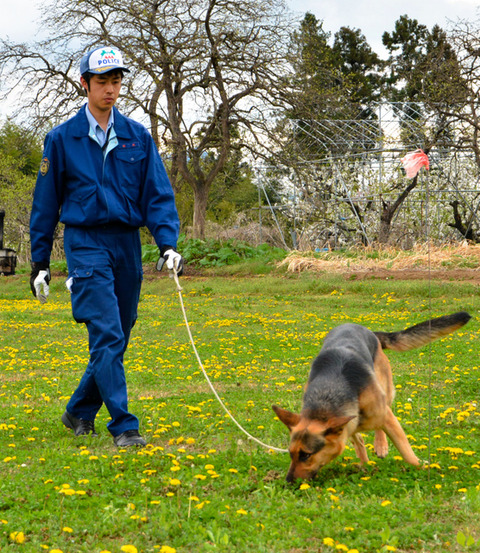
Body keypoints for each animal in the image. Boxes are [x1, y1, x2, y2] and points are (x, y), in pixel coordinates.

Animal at [272, 312, 470, 480]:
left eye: (306, 455)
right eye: (291, 453)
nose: (288, 482)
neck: (327, 396)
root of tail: (366, 330)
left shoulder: (385, 416)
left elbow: (406, 451)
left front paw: (422, 467)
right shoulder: (347, 424)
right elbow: (358, 441)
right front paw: (365, 464)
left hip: (385, 392)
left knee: (380, 424)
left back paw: (381, 445)